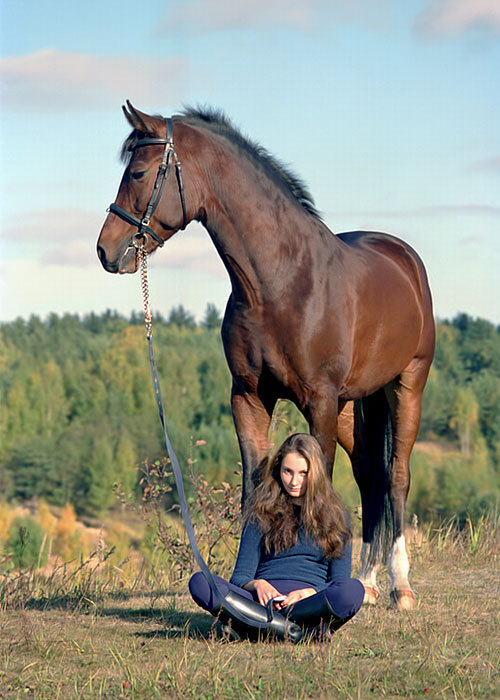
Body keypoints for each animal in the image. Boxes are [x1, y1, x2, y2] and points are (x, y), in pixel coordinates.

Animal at [96, 101, 434, 608]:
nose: (106, 250)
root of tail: (403, 258)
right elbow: (252, 490)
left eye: (137, 172)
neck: (280, 281)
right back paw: (369, 582)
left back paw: (400, 585)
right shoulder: (250, 397)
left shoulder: (319, 401)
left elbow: (322, 481)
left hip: (405, 386)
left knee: (395, 476)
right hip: (354, 404)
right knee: (370, 475)